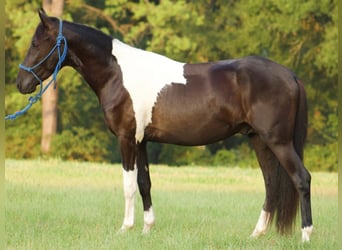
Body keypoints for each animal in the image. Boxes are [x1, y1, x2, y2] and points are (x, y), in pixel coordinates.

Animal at [16, 8, 312, 241]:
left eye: (36, 43)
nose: (21, 83)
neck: (117, 74)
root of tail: (290, 74)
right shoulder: (141, 140)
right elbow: (144, 182)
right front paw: (147, 228)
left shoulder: (126, 138)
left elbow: (128, 184)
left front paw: (125, 228)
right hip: (259, 140)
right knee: (271, 184)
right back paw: (256, 234)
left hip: (278, 141)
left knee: (301, 178)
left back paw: (306, 234)